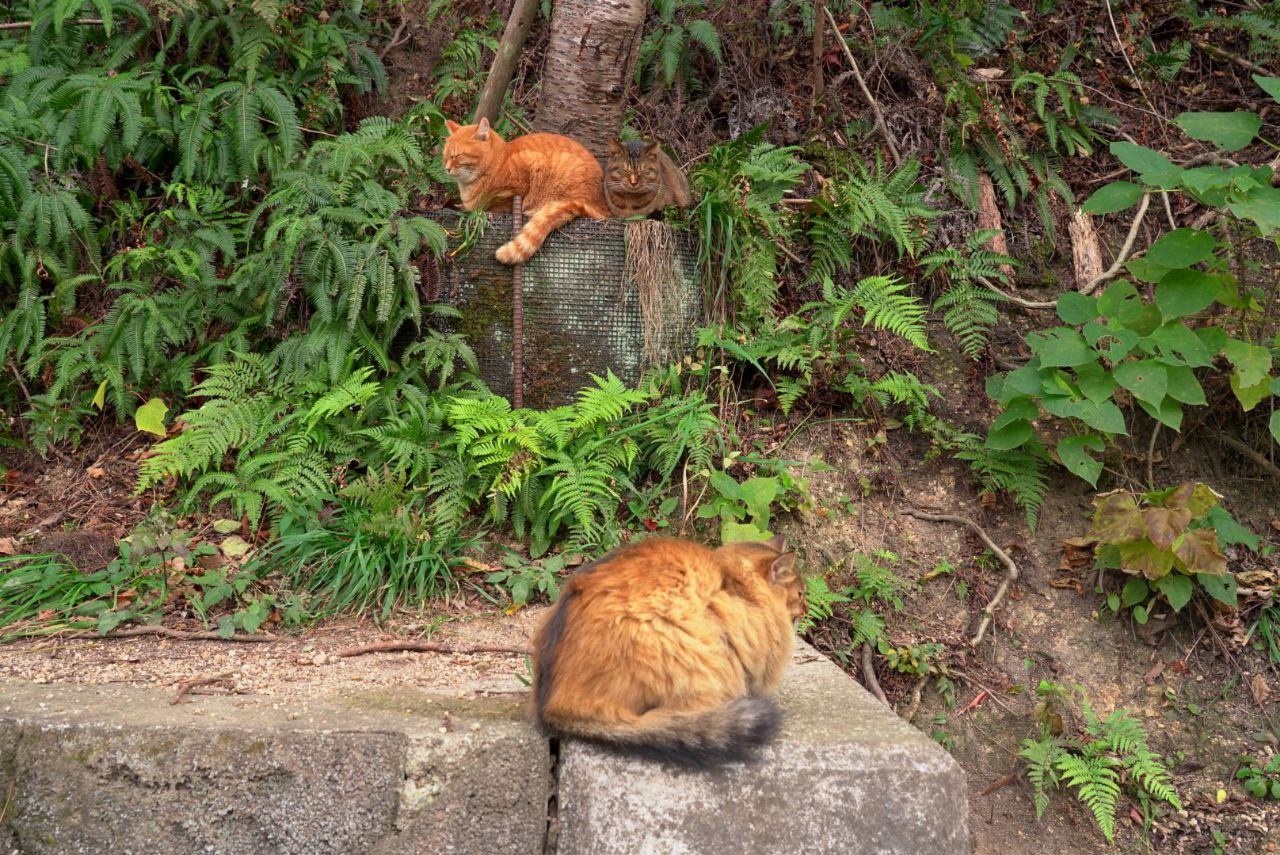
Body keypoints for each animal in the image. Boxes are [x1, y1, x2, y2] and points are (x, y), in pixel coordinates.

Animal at [442, 117, 610, 264]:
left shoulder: (522, 182)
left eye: (457, 156)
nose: (447, 169)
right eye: (445, 156)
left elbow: (500, 204)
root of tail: (603, 207)